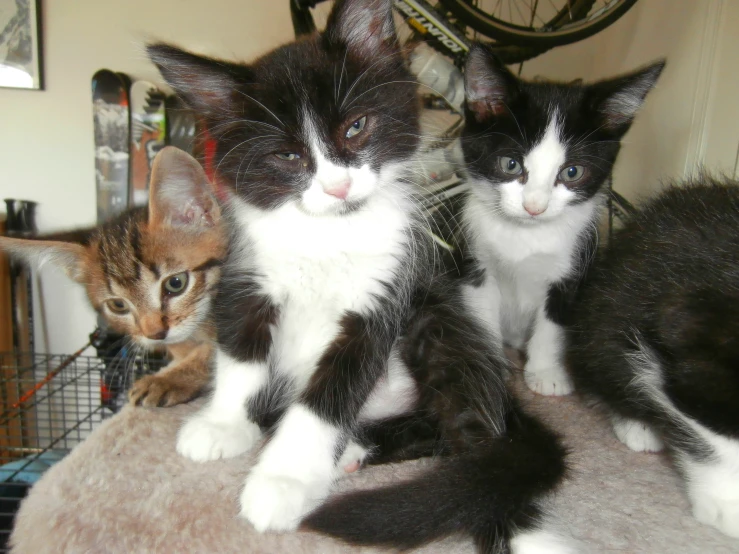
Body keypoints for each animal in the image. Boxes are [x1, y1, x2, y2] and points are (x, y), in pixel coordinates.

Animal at [147, 0, 568, 548]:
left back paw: (512, 522)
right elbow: (240, 355)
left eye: (355, 127)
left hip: (442, 316)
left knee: (473, 437)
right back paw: (350, 449)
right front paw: (224, 424)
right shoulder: (247, 276)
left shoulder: (383, 294)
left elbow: (331, 392)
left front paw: (282, 480)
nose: (338, 187)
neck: (328, 235)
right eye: (287, 155)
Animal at [462, 45, 664, 394]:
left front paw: (546, 373)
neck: (525, 235)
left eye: (572, 172)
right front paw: (490, 363)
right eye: (510, 164)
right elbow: (480, 312)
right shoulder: (477, 260)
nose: (534, 206)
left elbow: (554, 321)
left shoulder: (575, 269)